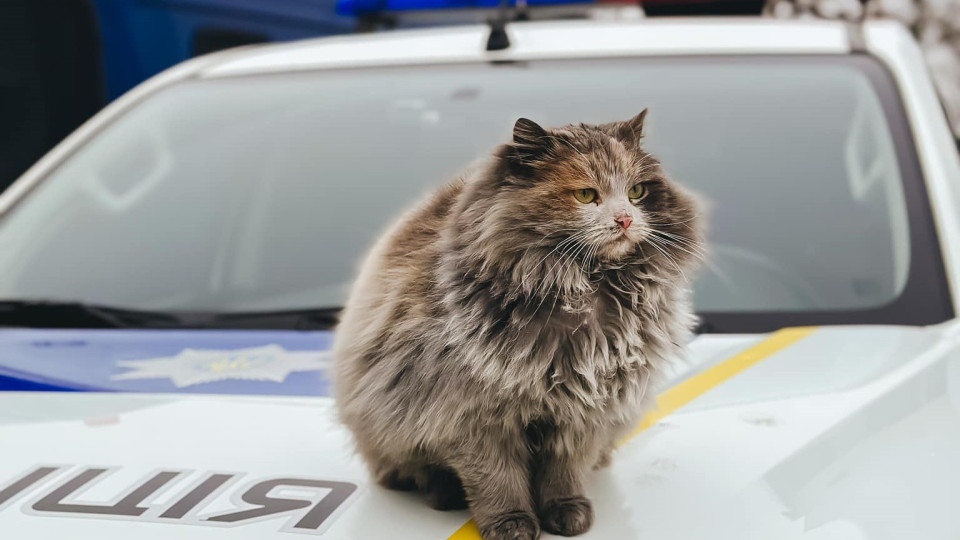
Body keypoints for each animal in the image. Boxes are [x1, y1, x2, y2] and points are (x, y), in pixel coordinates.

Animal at [334, 110, 700, 540]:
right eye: (586, 195)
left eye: (637, 191)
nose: (625, 219)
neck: (581, 289)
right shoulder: (474, 418)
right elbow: (498, 481)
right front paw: (512, 525)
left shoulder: (585, 411)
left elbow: (564, 473)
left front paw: (567, 513)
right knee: (412, 471)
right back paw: (445, 494)